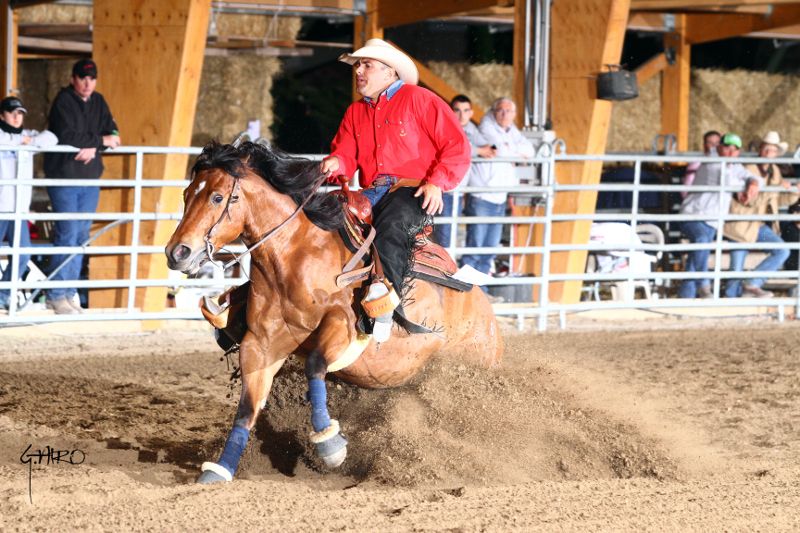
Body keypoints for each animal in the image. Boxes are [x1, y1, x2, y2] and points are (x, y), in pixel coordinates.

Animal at [166, 141, 504, 482]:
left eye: (217, 197)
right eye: (186, 194)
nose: (177, 252)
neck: (294, 256)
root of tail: (490, 320)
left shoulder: (342, 326)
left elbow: (315, 365)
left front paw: (330, 444)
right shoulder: (260, 344)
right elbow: (248, 407)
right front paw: (219, 469)